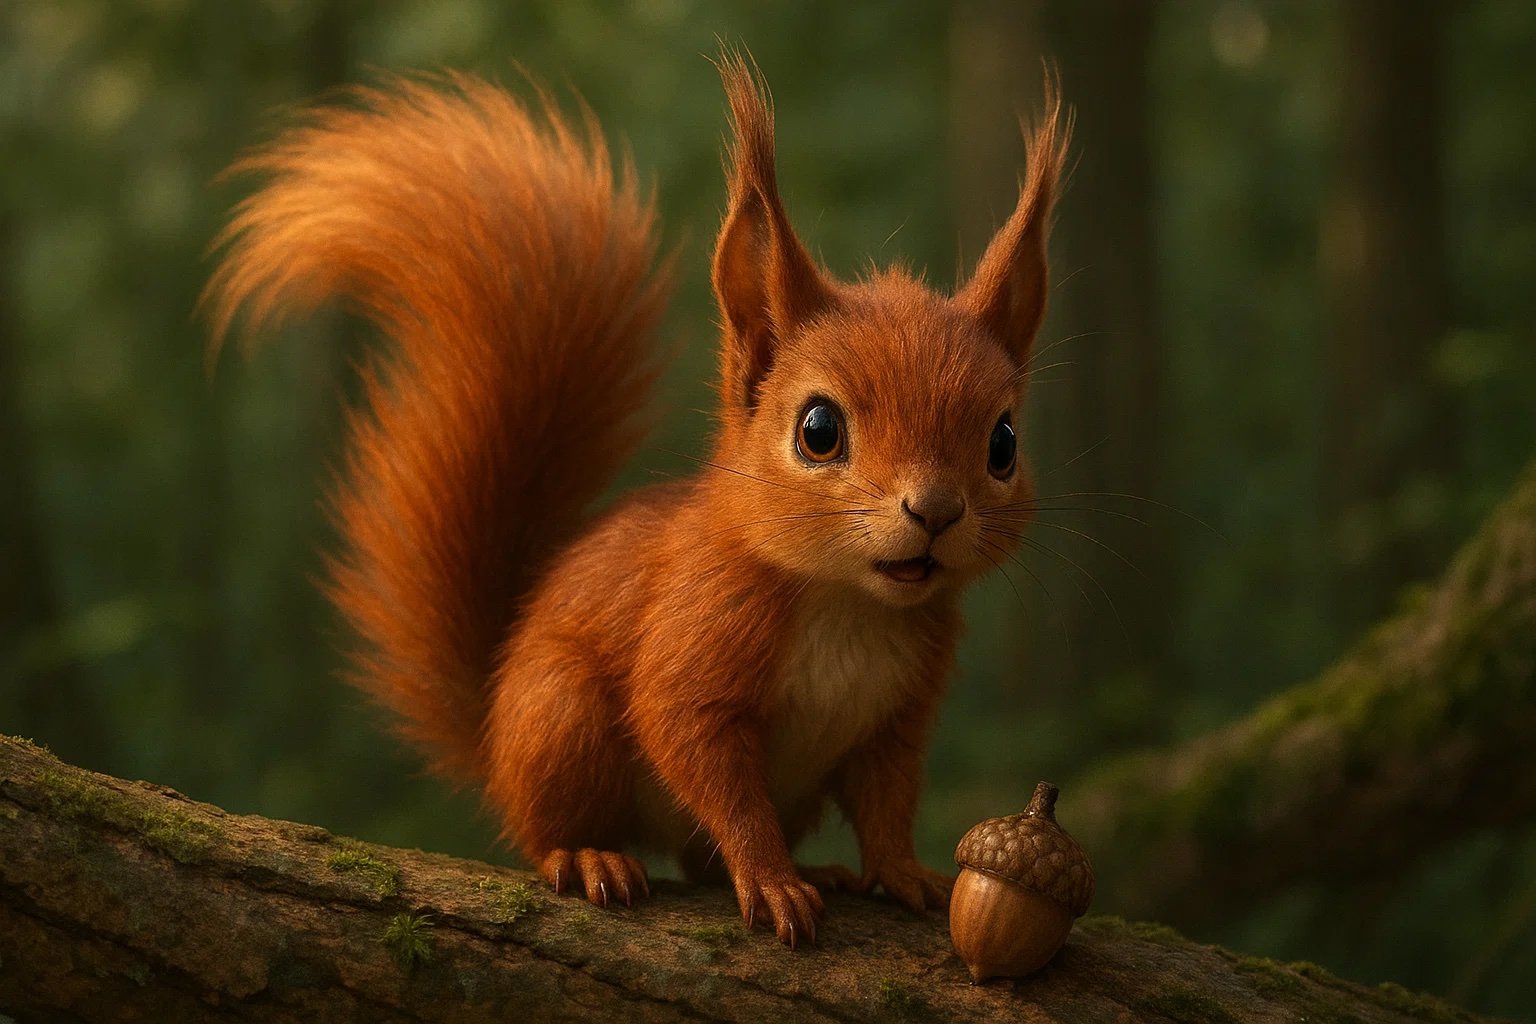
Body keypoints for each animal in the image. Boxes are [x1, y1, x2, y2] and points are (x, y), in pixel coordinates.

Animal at [204, 53, 1069, 947]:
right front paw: (771, 878)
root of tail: (493, 729)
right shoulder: (694, 636)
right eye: (819, 429)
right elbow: (703, 758)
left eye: (1003, 442)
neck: (849, 603)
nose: (935, 511)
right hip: (562, 719)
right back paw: (588, 856)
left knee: (697, 858)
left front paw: (900, 873)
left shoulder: (898, 716)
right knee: (551, 829)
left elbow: (887, 804)